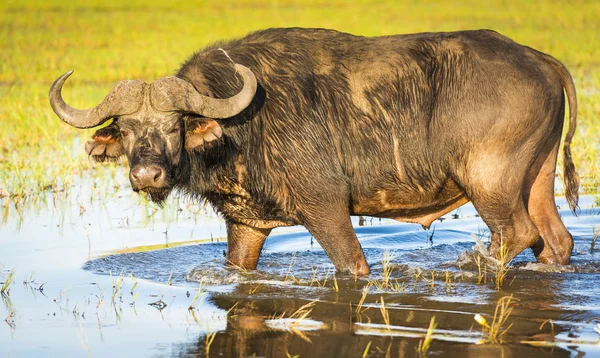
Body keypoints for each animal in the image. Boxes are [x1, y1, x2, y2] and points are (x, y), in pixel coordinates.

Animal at [50, 28, 576, 274]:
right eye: (127, 129)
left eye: (173, 124)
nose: (147, 176)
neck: (241, 128)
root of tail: (539, 59)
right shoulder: (246, 224)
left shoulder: (324, 206)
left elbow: (352, 264)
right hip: (536, 178)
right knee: (555, 240)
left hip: (488, 182)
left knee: (517, 234)